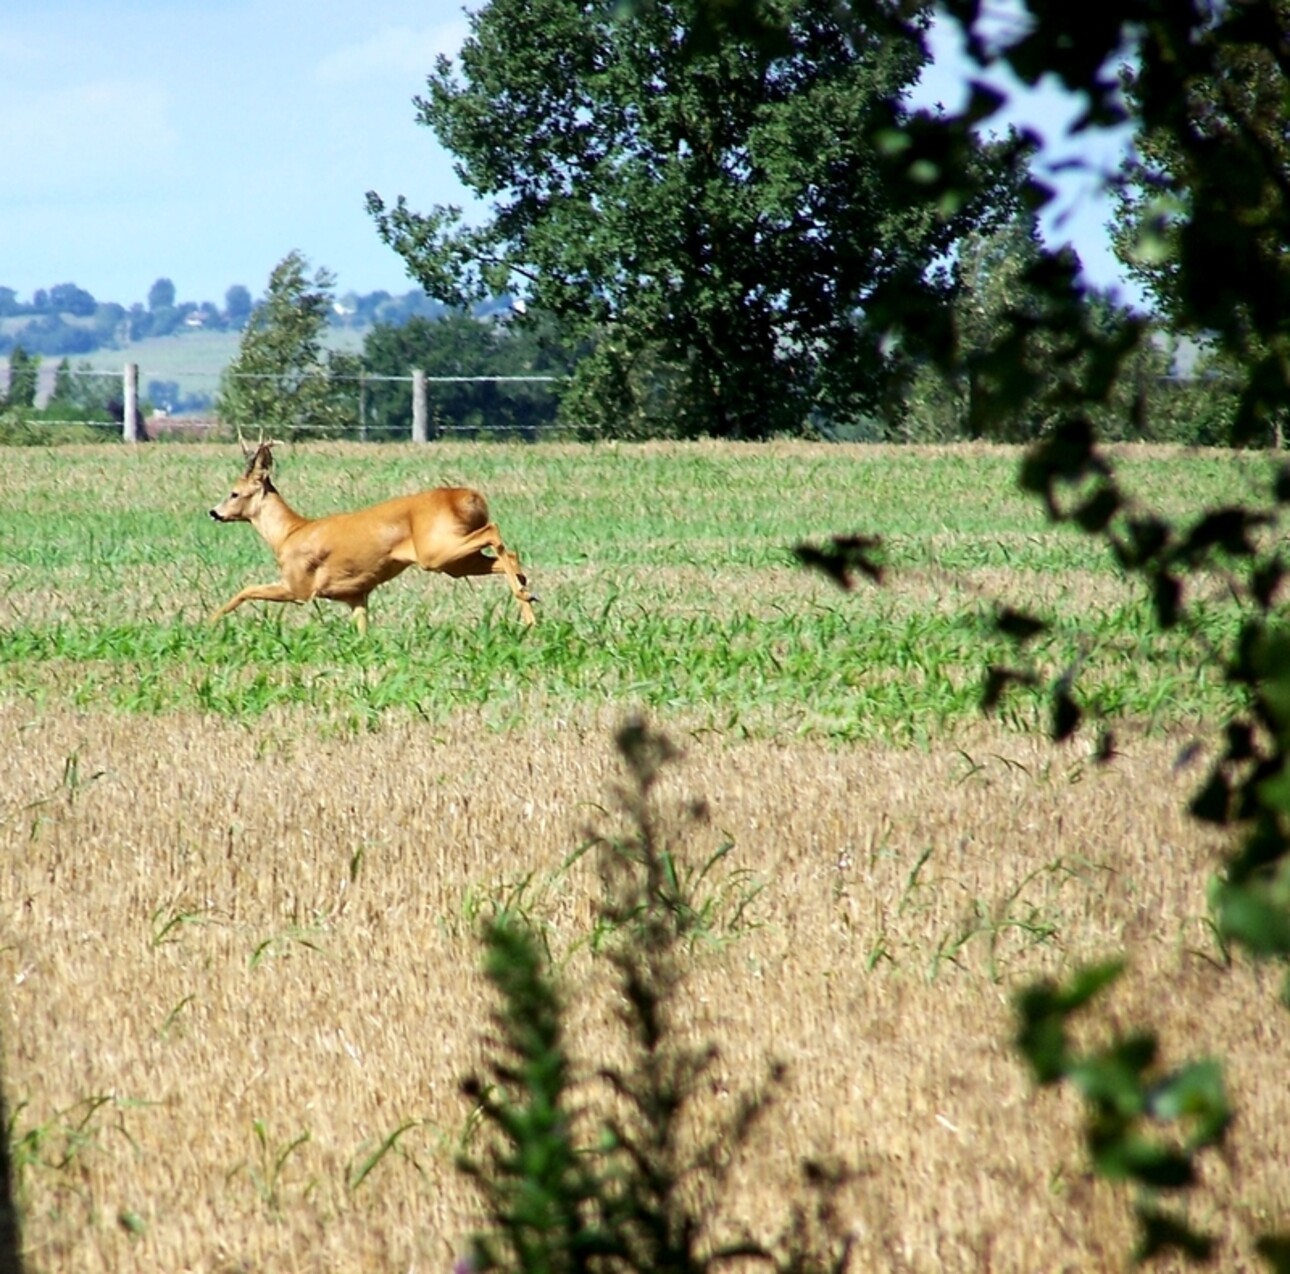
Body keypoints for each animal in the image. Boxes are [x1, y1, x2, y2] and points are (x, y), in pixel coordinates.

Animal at [211, 443, 534, 631]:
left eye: (234, 493)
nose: (214, 512)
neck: (289, 534)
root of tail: (470, 498)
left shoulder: (299, 586)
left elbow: (245, 590)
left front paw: (210, 622)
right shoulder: (356, 594)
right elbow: (362, 631)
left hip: (436, 551)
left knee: (493, 532)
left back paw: (525, 596)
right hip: (455, 561)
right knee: (507, 554)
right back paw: (528, 602)